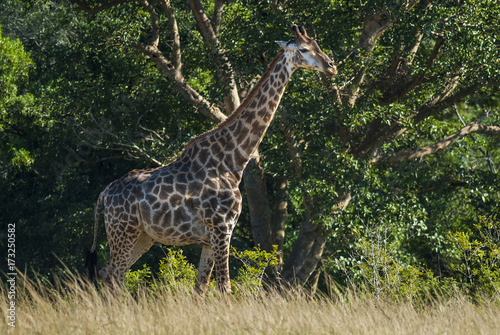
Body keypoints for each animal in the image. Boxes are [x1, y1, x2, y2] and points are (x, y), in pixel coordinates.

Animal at [87, 25, 336, 296]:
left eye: (318, 44)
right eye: (304, 49)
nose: (331, 66)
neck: (234, 160)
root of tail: (104, 193)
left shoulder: (209, 238)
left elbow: (201, 288)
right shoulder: (222, 228)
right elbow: (224, 287)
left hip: (143, 237)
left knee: (108, 273)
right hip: (124, 232)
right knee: (115, 275)